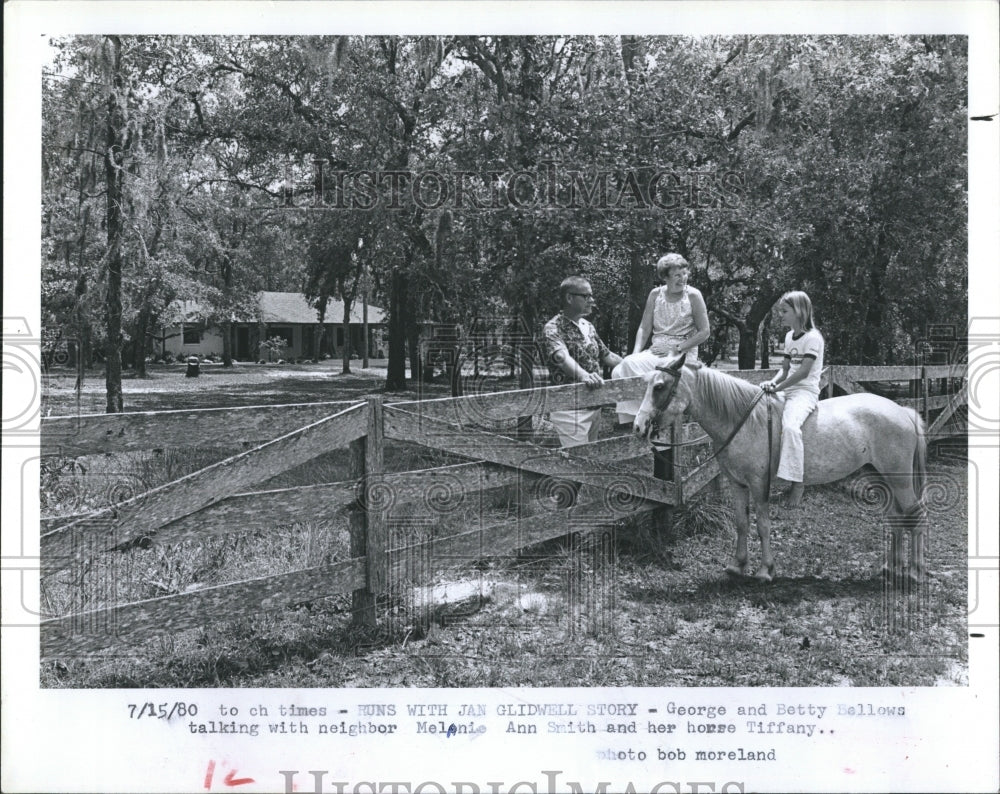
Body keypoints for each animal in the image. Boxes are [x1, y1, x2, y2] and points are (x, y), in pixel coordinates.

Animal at [636, 352, 924, 580]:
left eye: (659, 387)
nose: (638, 426)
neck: (744, 420)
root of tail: (904, 411)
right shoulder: (737, 484)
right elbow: (742, 522)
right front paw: (737, 565)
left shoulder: (758, 483)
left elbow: (763, 525)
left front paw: (766, 570)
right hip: (884, 477)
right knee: (896, 516)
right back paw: (891, 566)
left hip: (900, 480)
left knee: (913, 516)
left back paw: (914, 572)